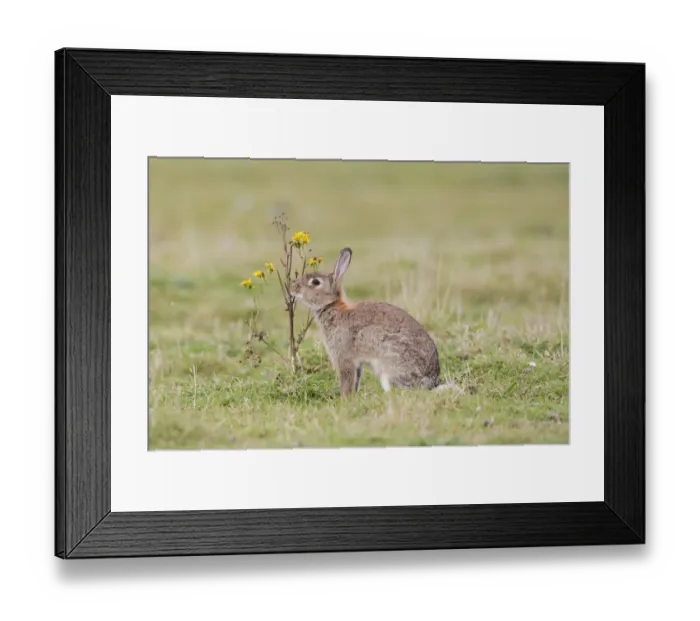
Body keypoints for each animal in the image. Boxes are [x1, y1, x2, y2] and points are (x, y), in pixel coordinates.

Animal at [289, 247, 442, 397]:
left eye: (315, 282)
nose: (293, 288)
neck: (332, 306)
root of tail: (429, 382)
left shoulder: (344, 357)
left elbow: (347, 380)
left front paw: (345, 399)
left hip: (388, 366)